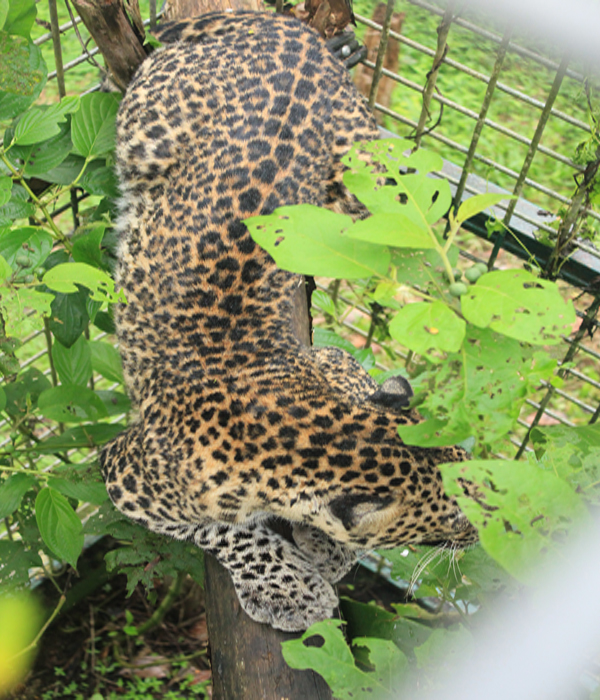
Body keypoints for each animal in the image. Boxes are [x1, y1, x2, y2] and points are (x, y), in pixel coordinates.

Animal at [102, 9, 478, 636]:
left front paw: (328, 551)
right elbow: (226, 530)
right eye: (448, 520)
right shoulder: (128, 472)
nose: (476, 534)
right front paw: (290, 587)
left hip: (367, 179)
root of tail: (292, 34)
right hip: (146, 123)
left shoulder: (334, 360)